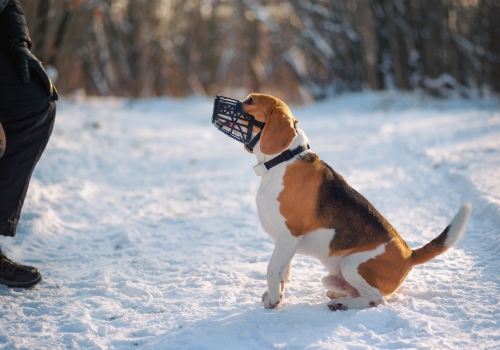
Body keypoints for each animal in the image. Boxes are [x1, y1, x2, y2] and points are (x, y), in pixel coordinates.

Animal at [240, 92, 470, 308]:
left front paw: (273, 300)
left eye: (250, 101)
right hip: (333, 276)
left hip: (351, 265)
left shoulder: (289, 234)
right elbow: (283, 271)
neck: (284, 159)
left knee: (376, 300)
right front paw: (275, 294)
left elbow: (272, 268)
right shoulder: (283, 240)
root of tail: (410, 255)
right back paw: (339, 296)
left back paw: (342, 305)